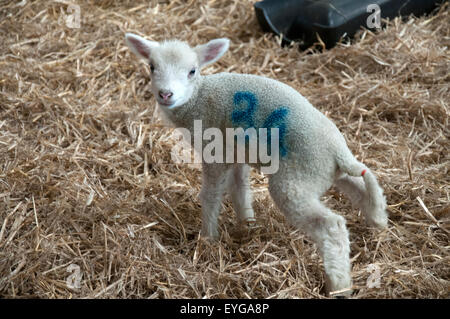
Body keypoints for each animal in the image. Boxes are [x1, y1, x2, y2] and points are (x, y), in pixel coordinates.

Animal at [125, 32, 388, 298]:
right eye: (152, 67)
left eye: (192, 71)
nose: (165, 94)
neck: (198, 98)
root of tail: (339, 152)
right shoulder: (236, 151)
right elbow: (240, 189)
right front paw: (247, 225)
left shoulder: (215, 152)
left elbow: (211, 195)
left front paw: (207, 238)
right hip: (325, 171)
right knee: (363, 185)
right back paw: (378, 224)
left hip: (294, 181)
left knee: (332, 227)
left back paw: (338, 286)